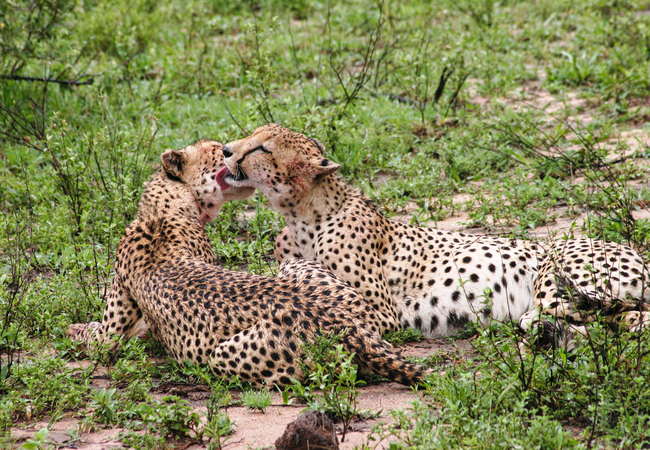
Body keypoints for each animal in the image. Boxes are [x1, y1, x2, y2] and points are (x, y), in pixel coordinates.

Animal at [68, 139, 428, 384]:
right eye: (216, 149)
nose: (228, 149)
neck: (165, 207)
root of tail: (348, 325)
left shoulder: (114, 328)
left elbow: (101, 337)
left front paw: (75, 328)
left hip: (224, 354)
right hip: (308, 274)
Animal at [221, 123, 648, 348]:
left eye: (261, 148)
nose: (225, 150)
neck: (302, 215)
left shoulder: (379, 312)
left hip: (558, 268)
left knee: (566, 317)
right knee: (616, 320)